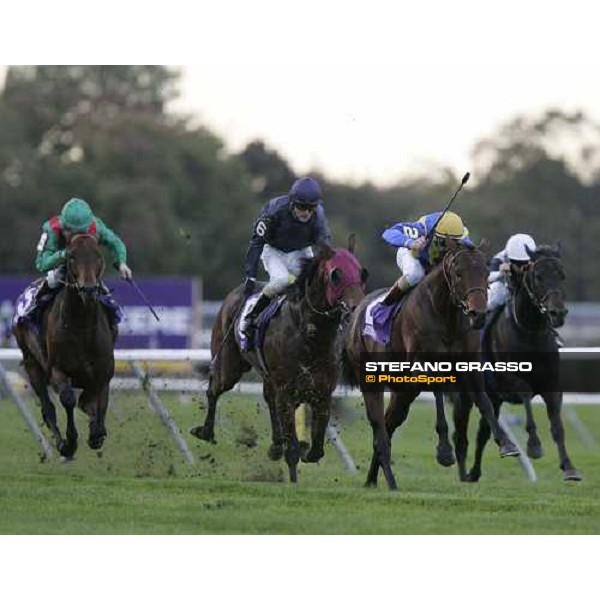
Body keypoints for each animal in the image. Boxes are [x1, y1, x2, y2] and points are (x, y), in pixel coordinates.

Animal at [13, 232, 116, 458]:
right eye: (71, 257)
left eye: (98, 256)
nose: (88, 289)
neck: (82, 327)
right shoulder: (57, 369)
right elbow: (68, 398)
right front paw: (70, 442)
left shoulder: (103, 371)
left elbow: (99, 401)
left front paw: (96, 433)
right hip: (32, 363)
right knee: (48, 407)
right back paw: (61, 443)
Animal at [191, 239, 366, 482]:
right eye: (336, 275)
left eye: (362, 273)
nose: (357, 307)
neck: (309, 334)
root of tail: (236, 293)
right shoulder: (287, 390)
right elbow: (292, 449)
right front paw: (293, 472)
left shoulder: (321, 392)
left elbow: (316, 449)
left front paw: (301, 448)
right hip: (229, 365)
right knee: (214, 390)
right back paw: (205, 431)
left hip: (268, 377)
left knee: (269, 400)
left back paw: (275, 445)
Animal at [344, 237, 516, 490]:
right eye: (458, 273)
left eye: (486, 272)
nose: (478, 315)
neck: (446, 315)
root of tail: (357, 312)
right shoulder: (424, 364)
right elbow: (438, 399)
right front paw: (444, 451)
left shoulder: (470, 365)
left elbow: (484, 402)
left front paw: (506, 444)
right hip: (370, 381)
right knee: (379, 428)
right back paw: (390, 481)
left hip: (403, 391)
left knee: (388, 426)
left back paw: (372, 480)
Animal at [466, 241, 580, 480]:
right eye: (538, 276)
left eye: (562, 275)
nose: (558, 313)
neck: (531, 333)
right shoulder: (510, 380)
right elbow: (526, 393)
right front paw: (534, 446)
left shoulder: (552, 385)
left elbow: (557, 426)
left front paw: (569, 467)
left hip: (496, 398)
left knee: (483, 431)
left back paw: (477, 470)